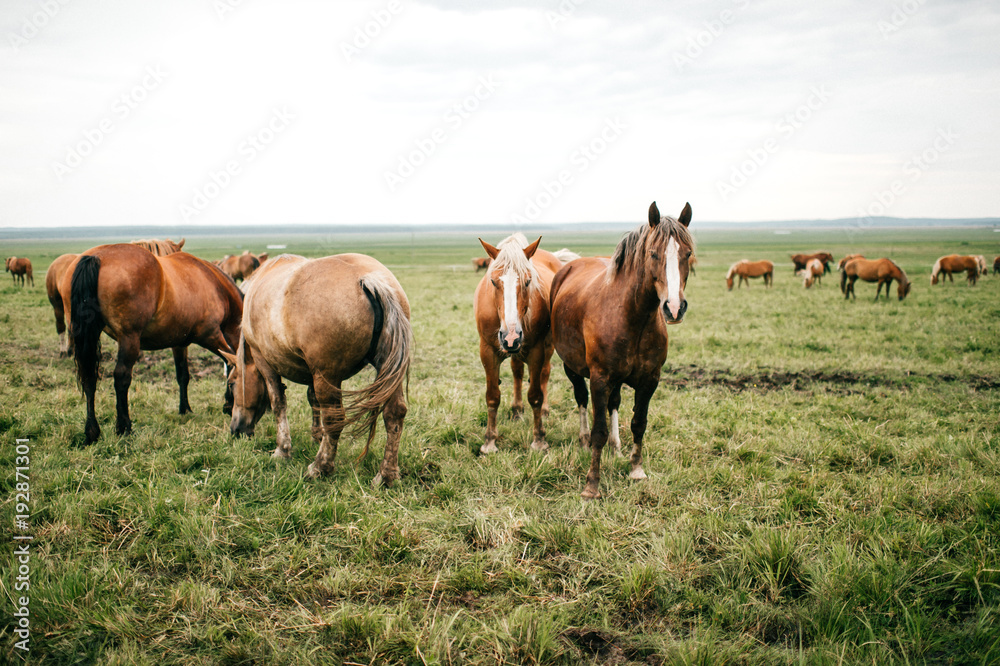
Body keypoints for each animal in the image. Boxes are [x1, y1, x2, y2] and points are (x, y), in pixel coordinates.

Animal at [65, 243, 244, 440]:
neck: (214, 284)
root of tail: (95, 257)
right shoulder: (211, 336)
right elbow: (230, 363)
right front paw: (229, 403)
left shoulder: (179, 344)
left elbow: (183, 375)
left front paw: (185, 409)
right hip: (129, 339)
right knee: (121, 377)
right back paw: (124, 427)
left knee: (88, 377)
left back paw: (92, 431)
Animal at [225, 252, 412, 486]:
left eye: (232, 384)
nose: (235, 429)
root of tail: (369, 279)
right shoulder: (311, 372)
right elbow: (312, 399)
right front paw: (318, 435)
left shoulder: (265, 362)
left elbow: (278, 404)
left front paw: (282, 450)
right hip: (386, 371)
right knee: (394, 413)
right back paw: (386, 475)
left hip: (327, 376)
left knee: (335, 419)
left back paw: (321, 466)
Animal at [470, 231, 564, 454]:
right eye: (493, 281)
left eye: (528, 281)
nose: (511, 337)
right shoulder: (487, 351)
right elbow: (492, 396)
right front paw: (489, 442)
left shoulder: (536, 351)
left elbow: (536, 395)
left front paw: (539, 440)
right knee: (517, 372)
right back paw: (517, 410)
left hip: (546, 346)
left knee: (545, 373)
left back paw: (544, 410)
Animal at [548, 201, 696, 498]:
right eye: (653, 253)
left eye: (687, 253)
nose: (674, 308)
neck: (632, 316)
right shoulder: (600, 378)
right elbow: (598, 430)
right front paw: (592, 485)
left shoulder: (649, 380)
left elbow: (639, 423)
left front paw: (636, 469)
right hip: (573, 368)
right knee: (581, 399)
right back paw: (583, 440)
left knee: (614, 403)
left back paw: (616, 447)